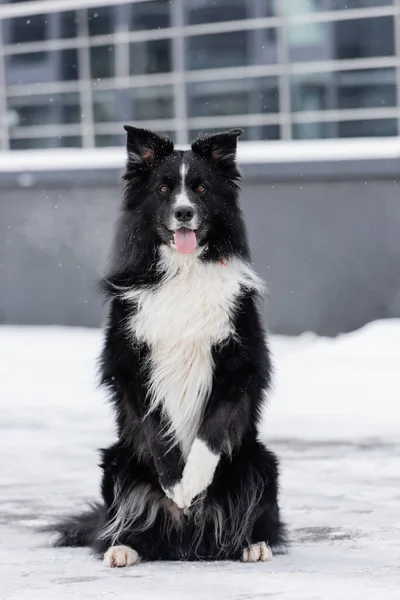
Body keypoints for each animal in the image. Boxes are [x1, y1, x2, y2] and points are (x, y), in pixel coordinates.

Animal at [52, 126, 284, 568]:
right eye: (162, 189)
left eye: (201, 188)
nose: (184, 212)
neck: (183, 270)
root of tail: (185, 538)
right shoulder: (130, 365)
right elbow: (158, 429)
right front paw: (176, 483)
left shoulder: (240, 364)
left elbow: (212, 430)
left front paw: (190, 483)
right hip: (117, 461)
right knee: (126, 521)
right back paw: (123, 547)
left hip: (259, 459)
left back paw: (253, 545)